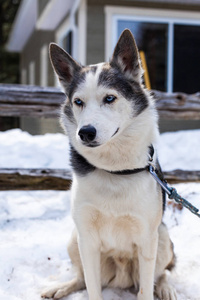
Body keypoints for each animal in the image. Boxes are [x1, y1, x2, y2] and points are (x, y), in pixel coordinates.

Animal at [41, 29, 176, 300]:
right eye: (78, 102)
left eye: (110, 98)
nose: (85, 133)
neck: (115, 168)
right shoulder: (87, 239)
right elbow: (92, 287)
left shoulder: (147, 238)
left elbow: (146, 289)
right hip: (74, 239)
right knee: (80, 278)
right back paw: (60, 287)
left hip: (163, 236)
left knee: (163, 272)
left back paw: (166, 288)